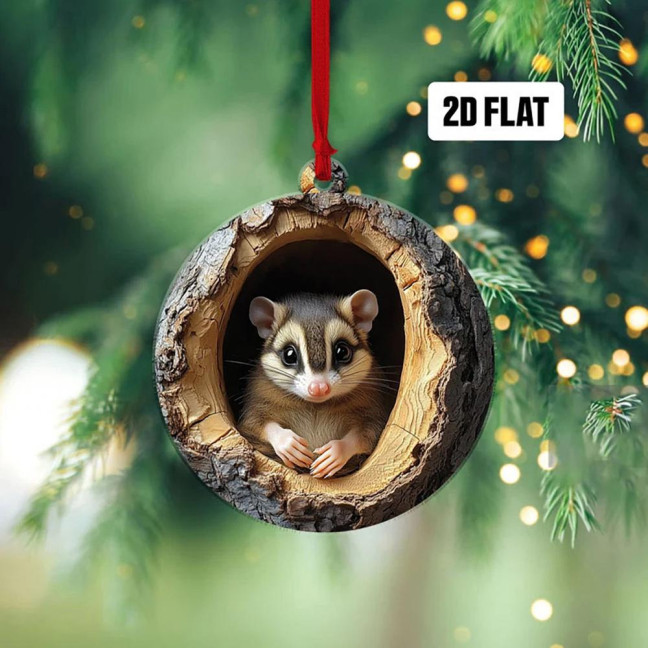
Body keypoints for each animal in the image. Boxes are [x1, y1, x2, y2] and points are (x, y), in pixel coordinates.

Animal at [237, 290, 390, 479]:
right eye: (289, 355)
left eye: (342, 351)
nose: (318, 388)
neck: (316, 405)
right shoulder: (257, 399)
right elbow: (255, 423)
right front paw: (288, 444)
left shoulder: (373, 406)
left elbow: (369, 433)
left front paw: (336, 452)